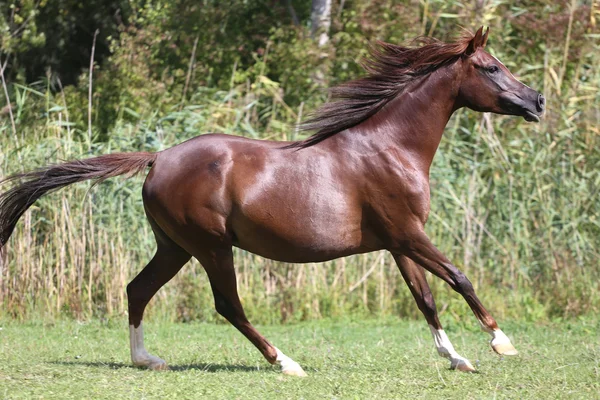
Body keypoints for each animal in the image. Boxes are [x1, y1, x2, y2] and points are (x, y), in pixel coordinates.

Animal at [0, 28, 544, 376]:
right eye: (491, 68)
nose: (537, 101)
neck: (390, 147)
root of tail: (158, 158)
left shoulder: (397, 242)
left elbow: (425, 297)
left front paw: (458, 358)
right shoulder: (409, 233)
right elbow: (458, 277)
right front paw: (502, 343)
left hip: (174, 247)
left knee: (138, 289)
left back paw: (147, 360)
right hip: (211, 246)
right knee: (227, 304)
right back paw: (287, 363)